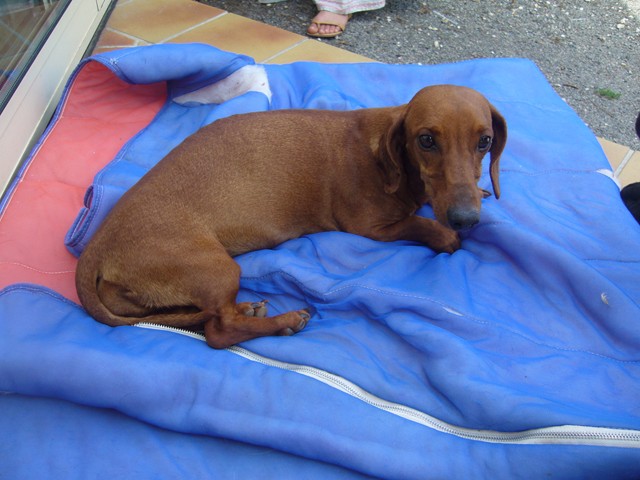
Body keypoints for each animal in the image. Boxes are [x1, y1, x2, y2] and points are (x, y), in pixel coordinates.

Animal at [76, 84, 504, 348]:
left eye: (484, 142)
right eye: (426, 140)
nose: (465, 218)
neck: (386, 156)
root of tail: (96, 249)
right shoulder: (370, 227)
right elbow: (419, 223)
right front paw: (445, 236)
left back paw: (250, 308)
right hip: (217, 268)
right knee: (217, 330)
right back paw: (282, 321)